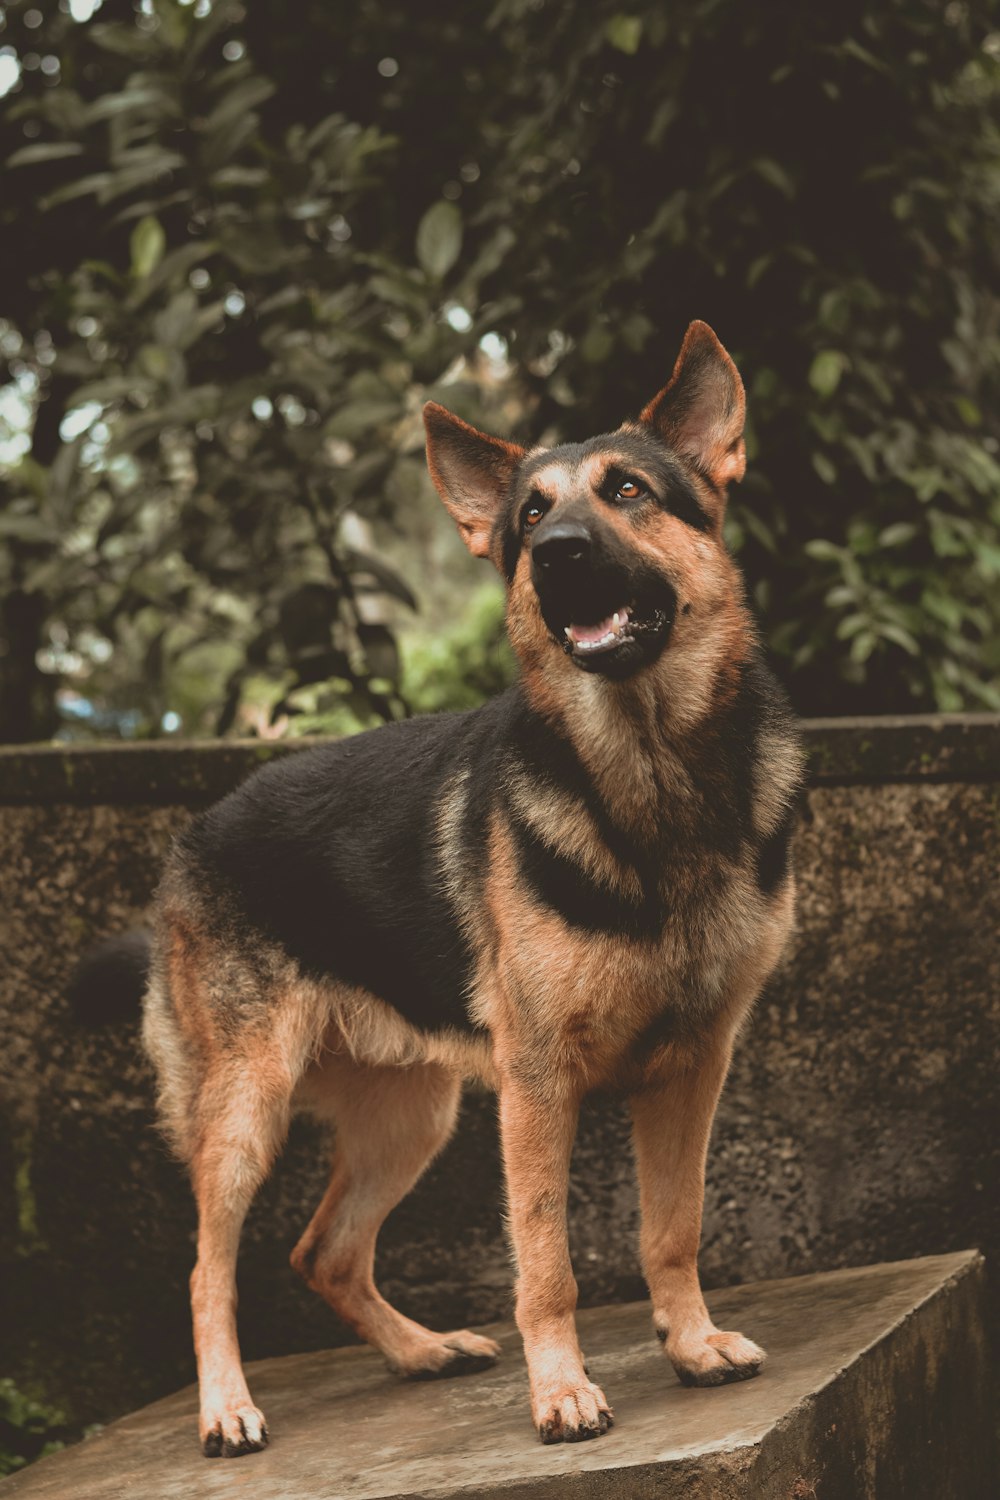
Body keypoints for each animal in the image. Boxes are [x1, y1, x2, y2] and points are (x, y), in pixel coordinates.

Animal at [137, 325, 803, 1452]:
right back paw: (227, 1407)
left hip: (415, 1116)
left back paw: (419, 1353)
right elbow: (546, 1263)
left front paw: (689, 1343)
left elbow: (671, 1227)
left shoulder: (692, 1068)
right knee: (202, 1269)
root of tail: (199, 830)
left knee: (323, 1251)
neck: (647, 779)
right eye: (530, 515)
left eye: (628, 491)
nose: (557, 553)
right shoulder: (537, 1088)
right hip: (245, 1113)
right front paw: (562, 1393)